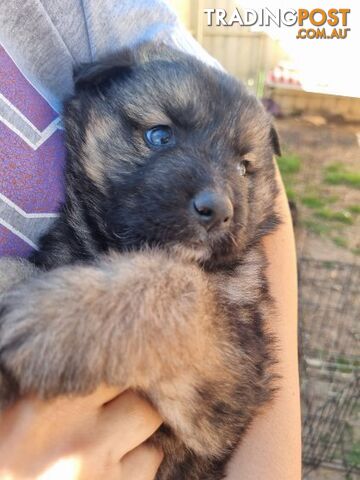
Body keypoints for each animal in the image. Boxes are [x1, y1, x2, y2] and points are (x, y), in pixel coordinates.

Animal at [0, 43, 282, 478]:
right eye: (160, 135)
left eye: (243, 167)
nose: (218, 210)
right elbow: (20, 268)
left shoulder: (235, 380)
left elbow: (179, 285)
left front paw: (55, 319)